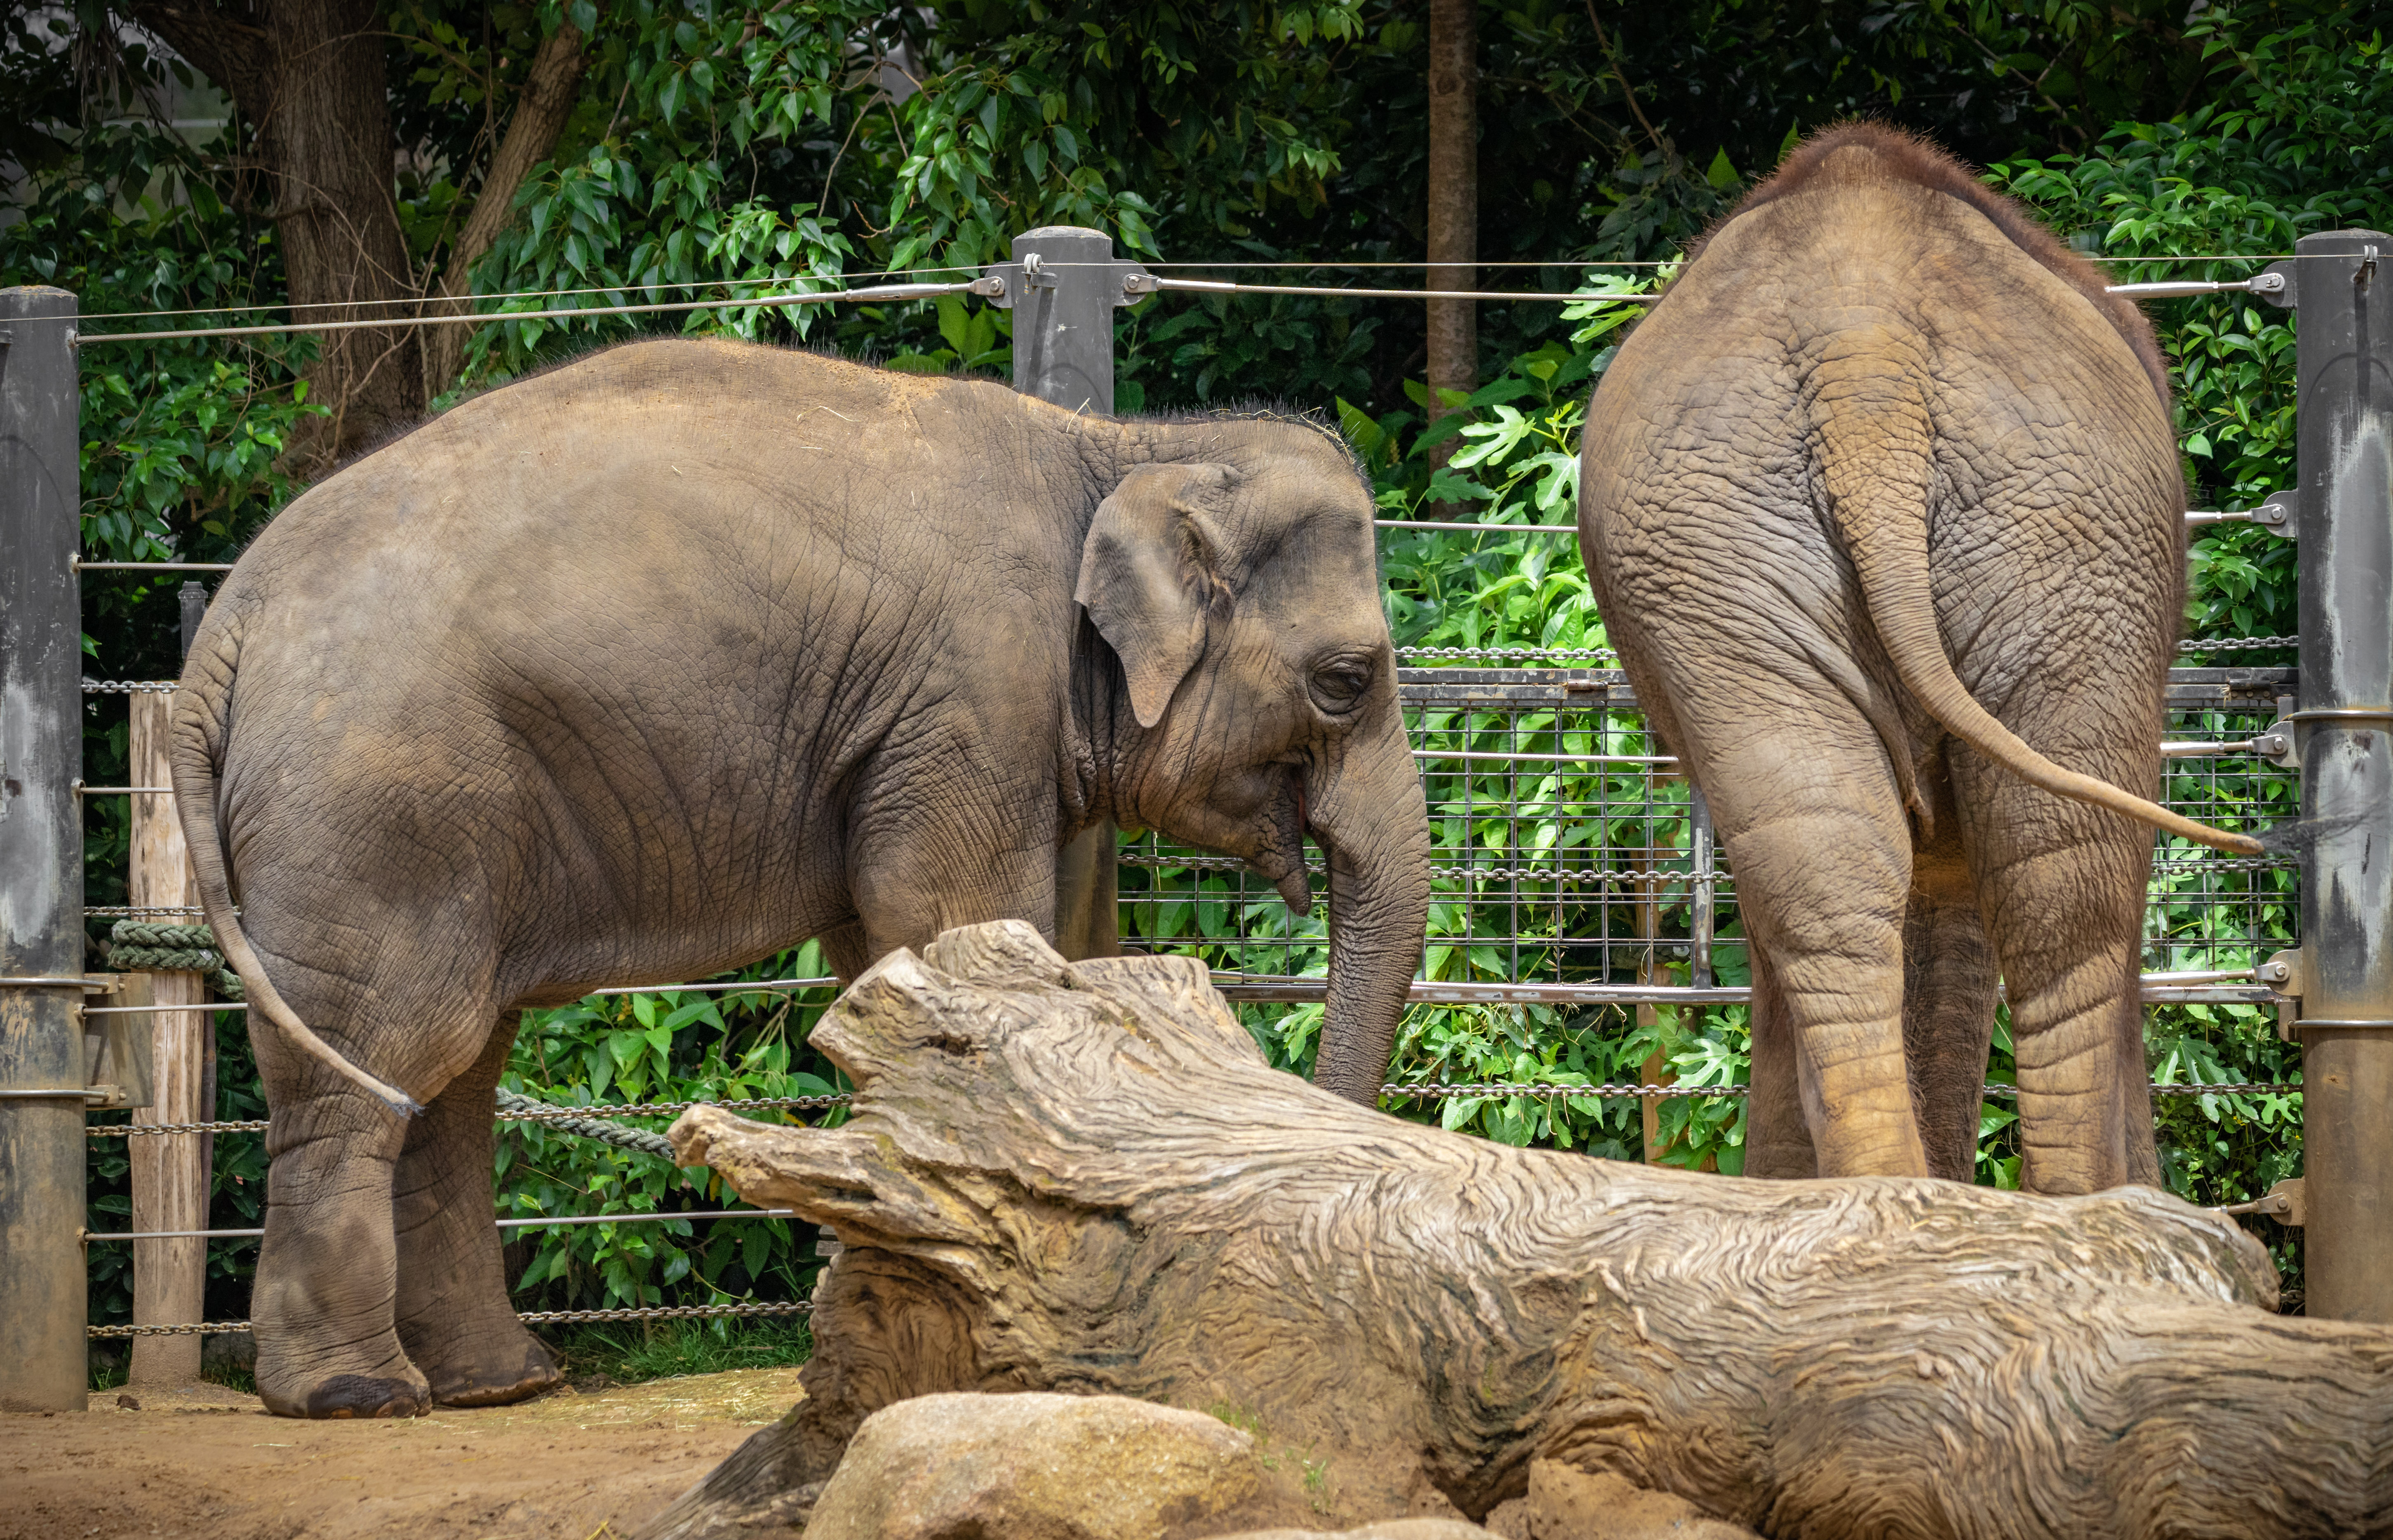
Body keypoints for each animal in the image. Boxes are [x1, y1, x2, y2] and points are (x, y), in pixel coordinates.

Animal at [171, 339, 1432, 1418]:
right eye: (1344, 679)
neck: (1121, 443)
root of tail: (219, 634)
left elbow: (885, 957)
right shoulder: (971, 693)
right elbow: (960, 921)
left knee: (450, 1067)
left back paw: (500, 1382)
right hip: (376, 813)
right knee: (383, 1055)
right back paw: (358, 1395)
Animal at [1576, 124, 2260, 1198]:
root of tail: (1867, 366)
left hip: (1728, 538)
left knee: (1842, 869)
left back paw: (1888, 1203)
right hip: (2054, 518)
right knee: (2061, 886)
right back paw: (2067, 1211)